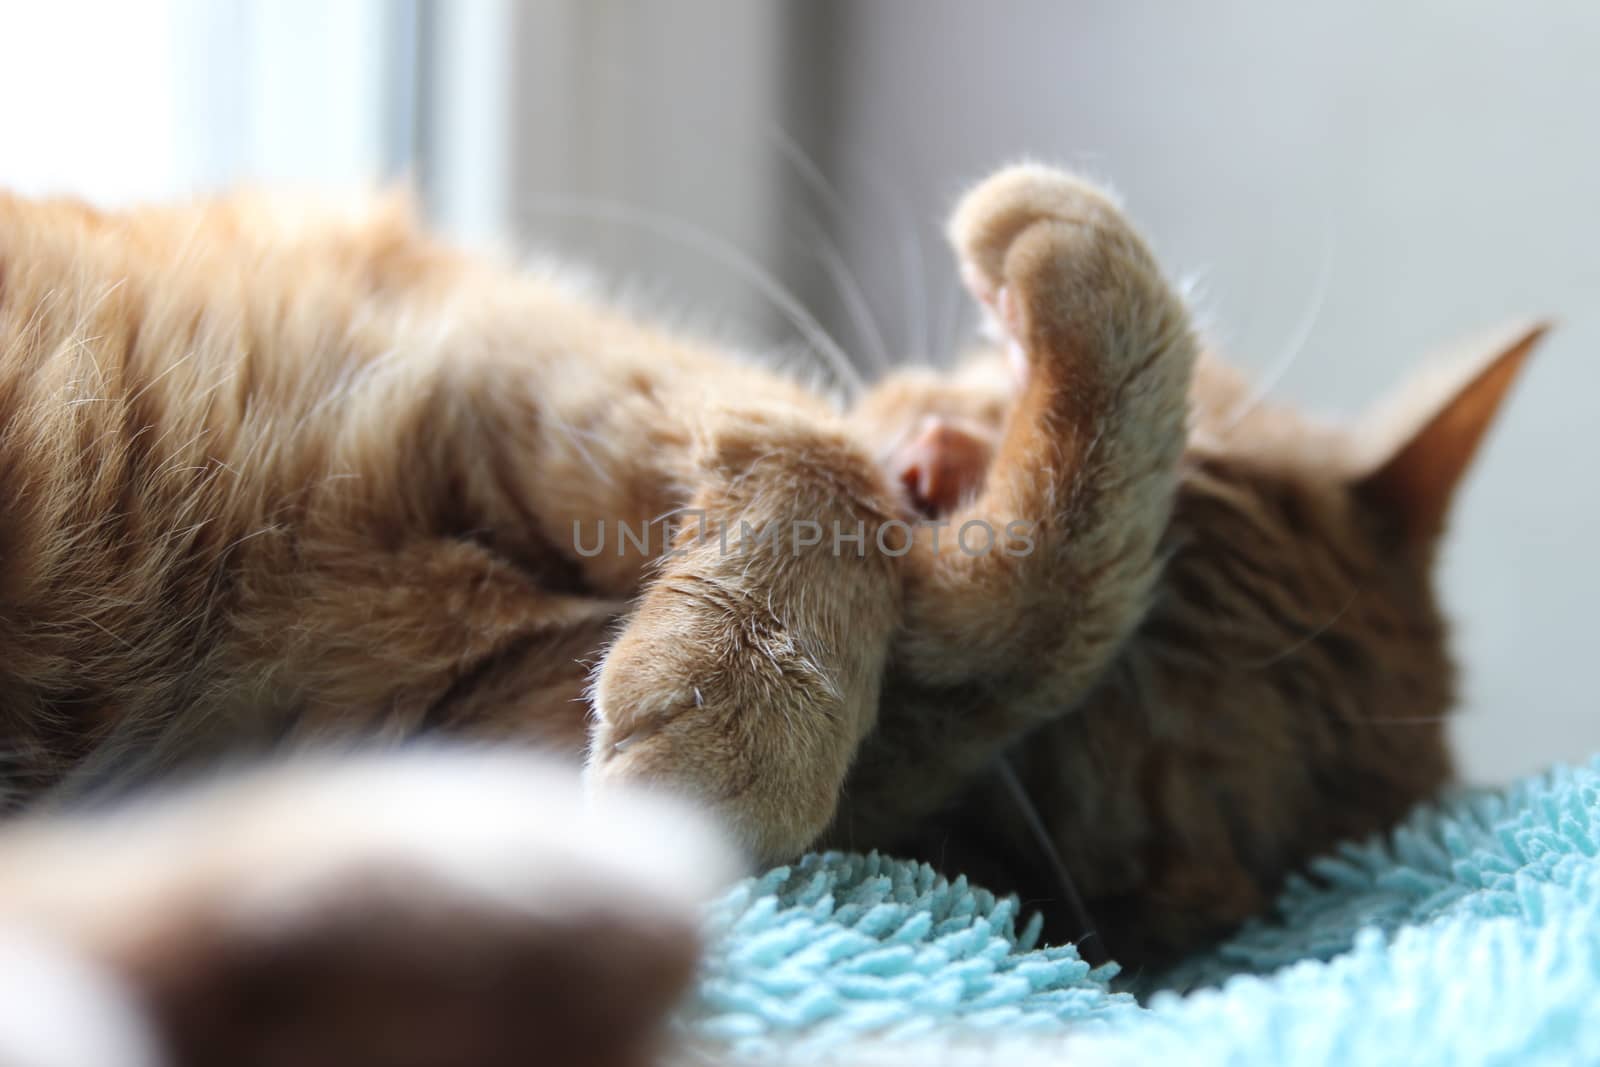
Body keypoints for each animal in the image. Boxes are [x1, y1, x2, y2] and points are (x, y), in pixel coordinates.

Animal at [0, 167, 1536, 1062]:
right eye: (988, 401)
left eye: (1113, 728)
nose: (936, 472)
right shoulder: (509, 353)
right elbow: (811, 444)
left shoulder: (457, 737)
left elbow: (1003, 628)